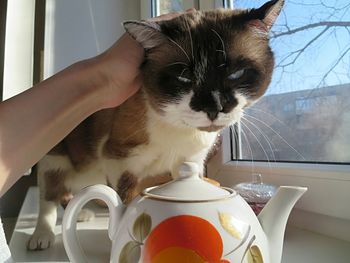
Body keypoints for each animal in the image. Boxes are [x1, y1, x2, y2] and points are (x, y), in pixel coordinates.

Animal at [27, 0, 284, 252]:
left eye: (236, 74)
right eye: (184, 78)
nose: (214, 107)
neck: (180, 129)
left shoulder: (190, 160)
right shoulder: (118, 160)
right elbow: (124, 205)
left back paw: (81, 214)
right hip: (55, 159)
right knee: (49, 197)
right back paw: (42, 236)